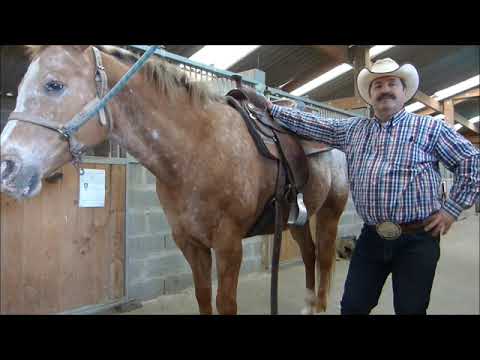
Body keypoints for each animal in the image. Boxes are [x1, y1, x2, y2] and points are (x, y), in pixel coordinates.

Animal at [0, 45, 346, 316]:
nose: (7, 167)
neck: (200, 146)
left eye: (54, 85)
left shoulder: (229, 244)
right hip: (297, 218)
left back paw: (319, 305)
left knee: (325, 256)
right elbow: (204, 297)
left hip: (330, 211)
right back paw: (307, 304)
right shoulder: (189, 241)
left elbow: (226, 303)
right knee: (309, 253)